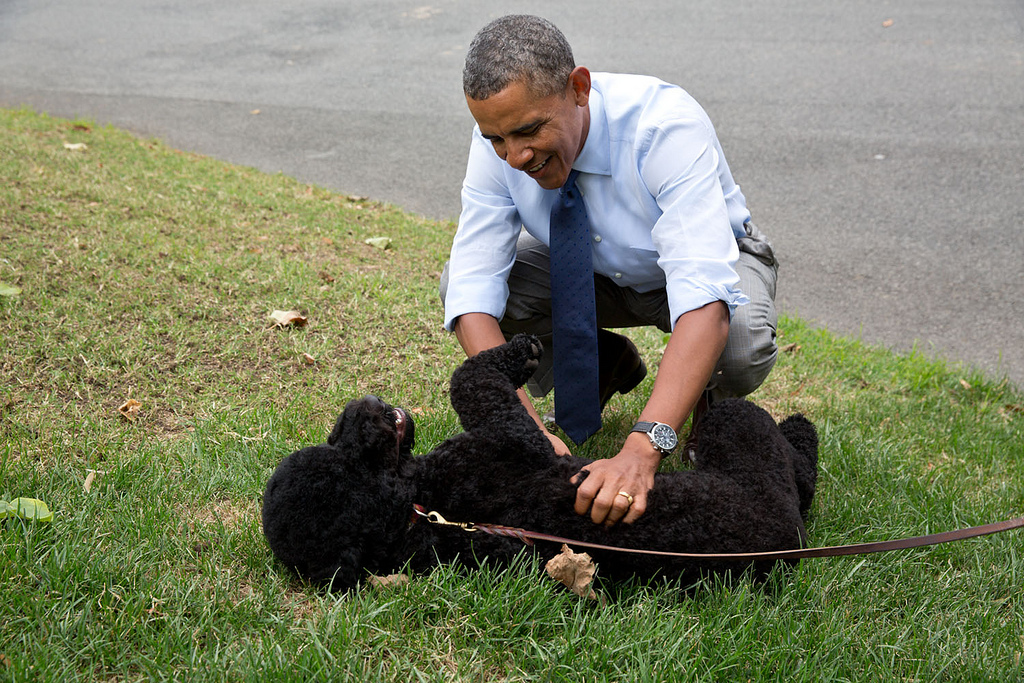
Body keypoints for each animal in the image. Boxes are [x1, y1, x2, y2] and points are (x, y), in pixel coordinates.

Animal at [262, 333, 815, 589]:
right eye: (351, 452)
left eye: (338, 439)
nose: (365, 407)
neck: (418, 509)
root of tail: (786, 547)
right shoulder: (507, 434)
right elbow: (470, 380)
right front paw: (521, 350)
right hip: (742, 433)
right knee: (797, 467)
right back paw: (799, 429)